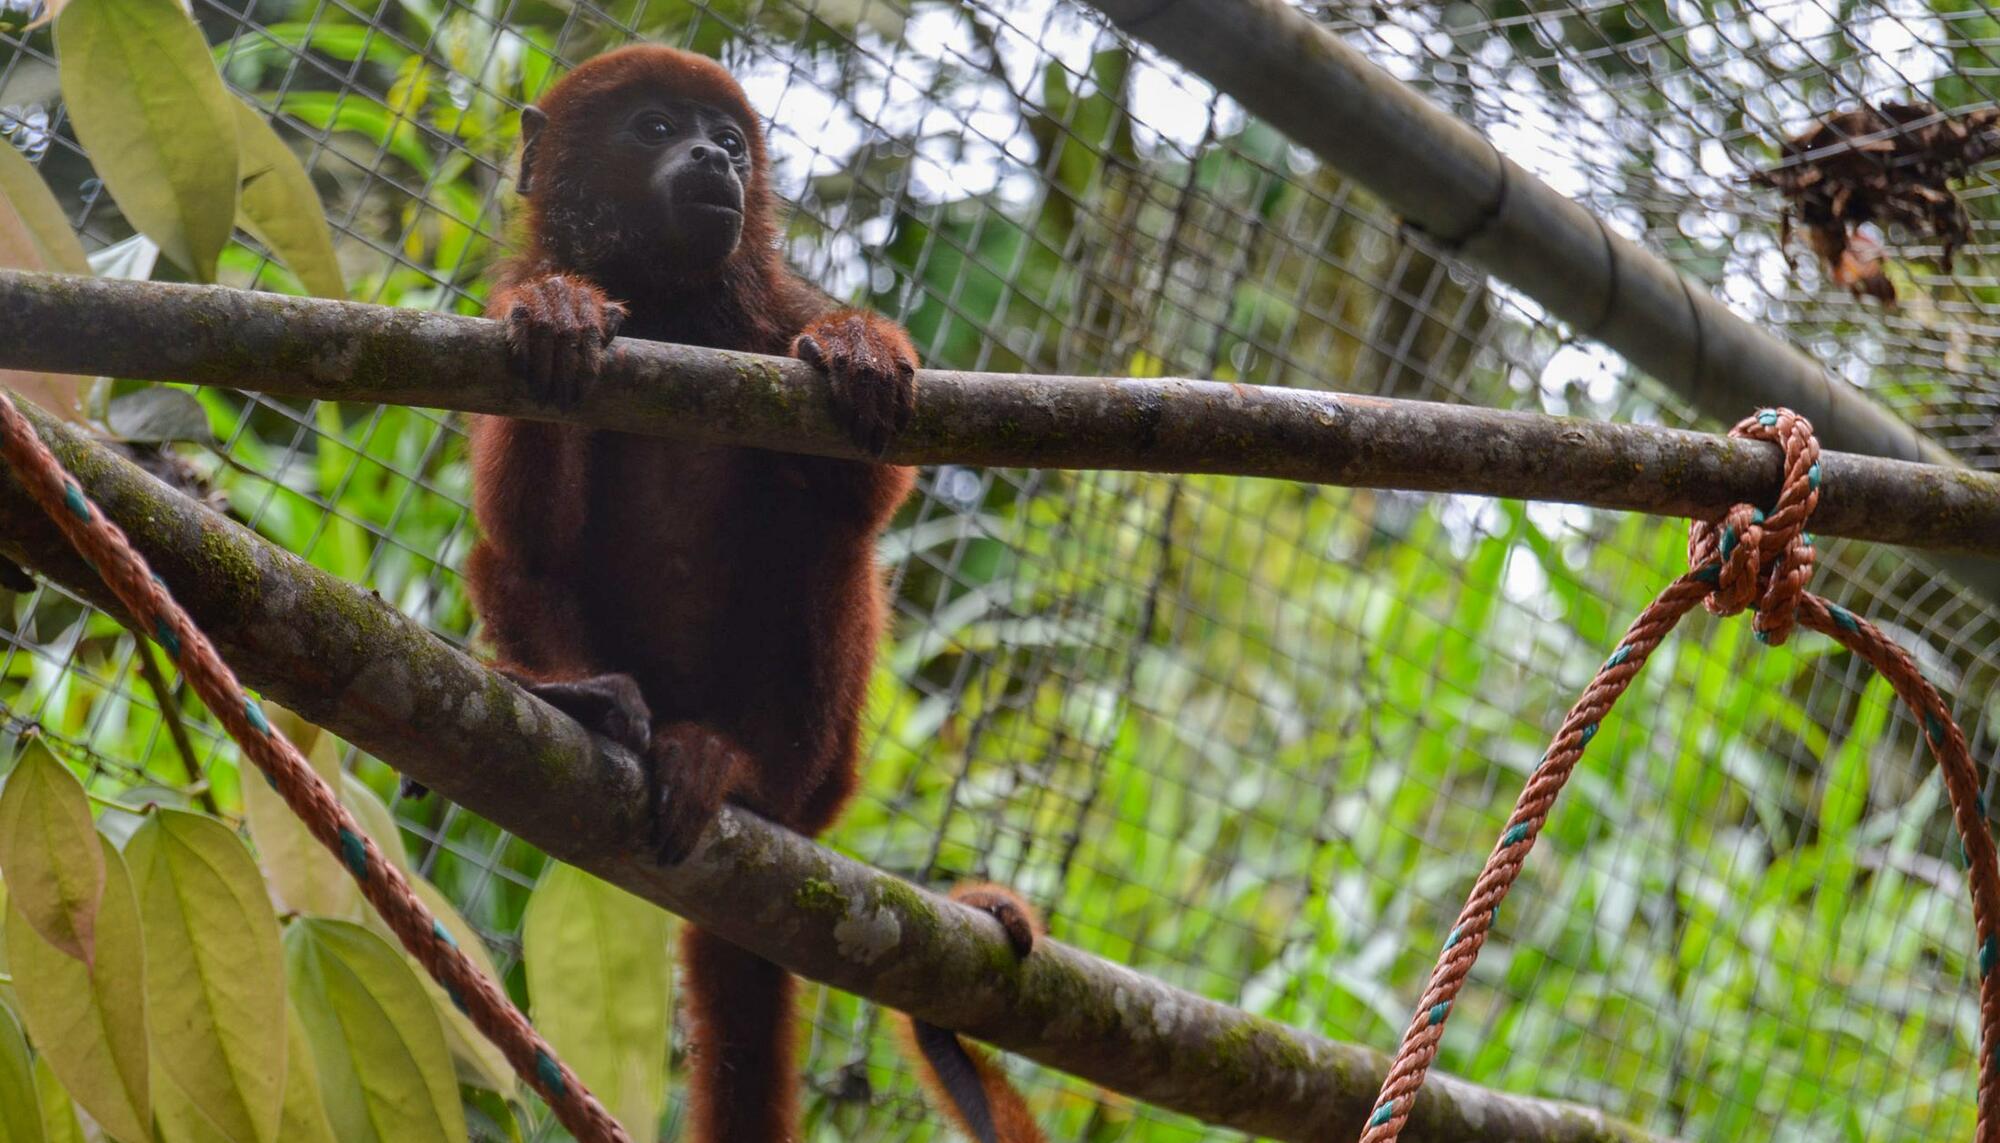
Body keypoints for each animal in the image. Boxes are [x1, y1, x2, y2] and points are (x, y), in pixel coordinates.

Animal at [450, 44, 916, 1143]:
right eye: (657, 128)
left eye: (731, 140)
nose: (715, 157)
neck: (667, 302)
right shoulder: (498, 307)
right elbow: (526, 524)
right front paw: (566, 315)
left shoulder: (776, 315)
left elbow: (867, 491)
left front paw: (862, 345)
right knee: (509, 562)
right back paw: (588, 700)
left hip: (827, 775)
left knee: (827, 549)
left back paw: (743, 774)